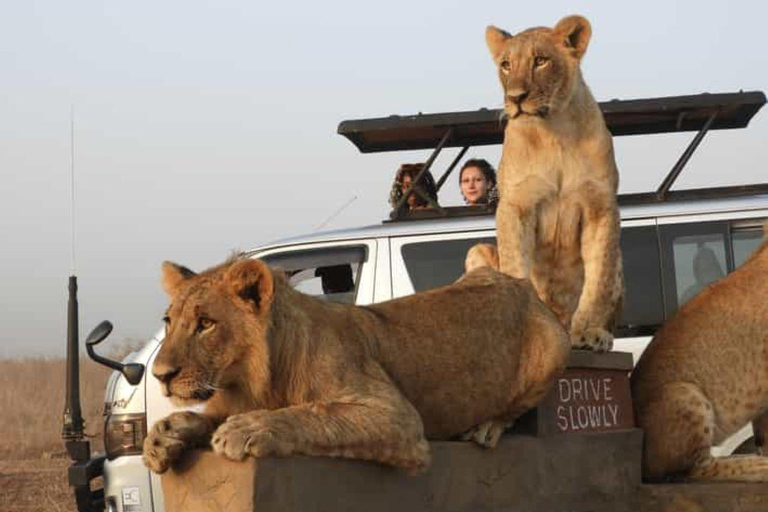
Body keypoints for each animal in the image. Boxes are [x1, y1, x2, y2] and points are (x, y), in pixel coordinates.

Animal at [141, 256, 568, 472]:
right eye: (169, 321)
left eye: (205, 324)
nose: (160, 376)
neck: (253, 380)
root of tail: (518, 281)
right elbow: (196, 418)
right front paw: (162, 437)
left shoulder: (397, 417)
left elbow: (313, 412)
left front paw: (247, 428)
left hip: (553, 347)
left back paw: (485, 427)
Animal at [486, 16, 624, 352]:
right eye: (506, 65)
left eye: (541, 61)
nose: (516, 97)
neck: (554, 132)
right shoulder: (515, 206)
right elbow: (516, 267)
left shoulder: (601, 206)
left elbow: (598, 279)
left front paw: (588, 332)